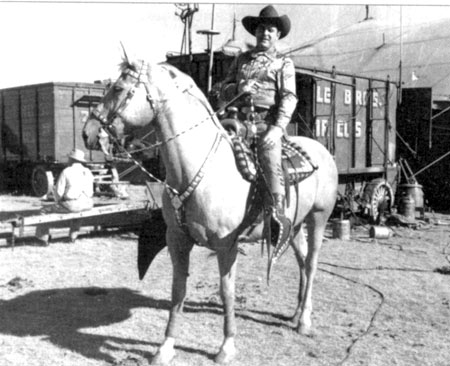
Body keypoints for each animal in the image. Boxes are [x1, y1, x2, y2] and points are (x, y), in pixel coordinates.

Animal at [82, 58, 340, 364]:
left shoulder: (226, 246)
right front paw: (165, 347)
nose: (88, 132)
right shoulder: (177, 240)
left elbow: (226, 292)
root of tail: (323, 151)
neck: (199, 168)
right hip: (294, 225)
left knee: (311, 264)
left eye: (118, 88)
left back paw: (305, 321)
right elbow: (177, 290)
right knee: (301, 261)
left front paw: (226, 346)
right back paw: (296, 312)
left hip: (319, 219)